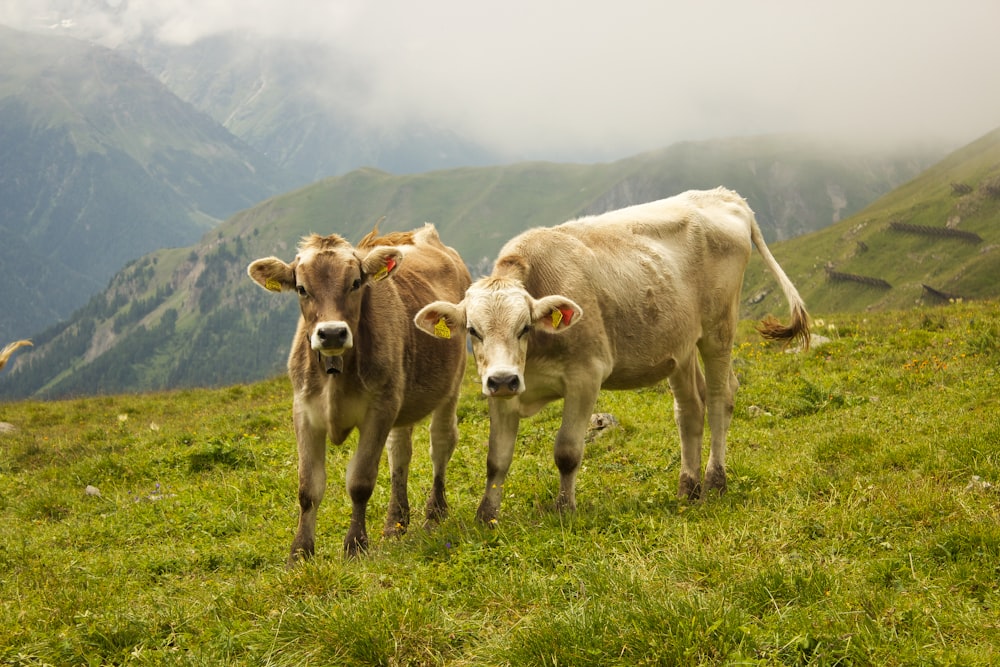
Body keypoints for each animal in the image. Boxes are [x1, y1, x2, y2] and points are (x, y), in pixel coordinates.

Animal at [248, 226, 470, 564]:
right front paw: (300, 551)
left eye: (355, 283)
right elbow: (308, 487)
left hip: (451, 385)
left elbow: (360, 482)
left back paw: (434, 513)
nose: (331, 333)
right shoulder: (304, 412)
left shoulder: (379, 410)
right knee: (399, 453)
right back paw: (395, 522)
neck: (336, 373)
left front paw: (355, 545)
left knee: (441, 443)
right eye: (301, 288)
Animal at [414, 189, 804, 528]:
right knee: (691, 408)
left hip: (718, 329)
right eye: (473, 330)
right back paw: (687, 488)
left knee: (722, 398)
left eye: (524, 327)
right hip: (679, 345)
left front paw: (564, 509)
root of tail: (725, 195)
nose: (503, 379)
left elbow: (567, 451)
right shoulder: (504, 392)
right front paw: (486, 517)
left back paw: (715, 481)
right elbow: (496, 460)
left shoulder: (585, 375)